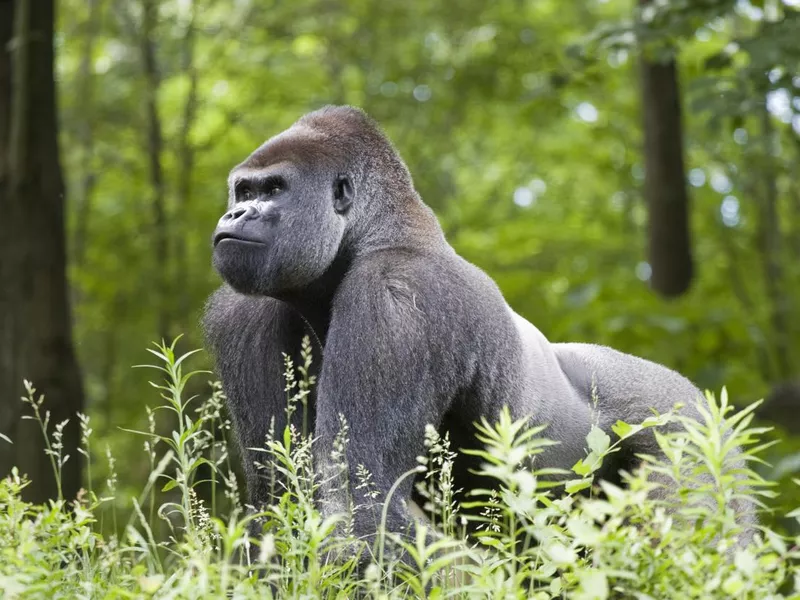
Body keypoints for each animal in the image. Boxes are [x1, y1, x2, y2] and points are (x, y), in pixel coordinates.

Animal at [203, 106, 752, 548]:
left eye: (274, 189)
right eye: (243, 190)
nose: (236, 212)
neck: (376, 234)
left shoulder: (397, 297)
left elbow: (362, 503)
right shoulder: (245, 313)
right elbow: (280, 499)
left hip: (686, 427)